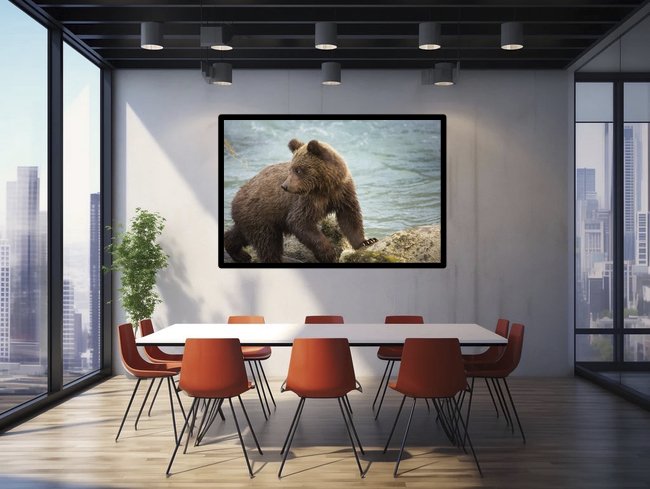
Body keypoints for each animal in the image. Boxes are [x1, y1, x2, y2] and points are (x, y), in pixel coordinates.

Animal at [224, 138, 377, 263]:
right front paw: (328, 253)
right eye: (291, 168)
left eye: (298, 170)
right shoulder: (307, 200)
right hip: (261, 215)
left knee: (240, 234)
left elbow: (350, 217)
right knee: (268, 244)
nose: (285, 186)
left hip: (253, 218)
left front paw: (367, 241)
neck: (324, 186)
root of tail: (235, 198)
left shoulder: (342, 193)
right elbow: (300, 222)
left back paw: (239, 253)